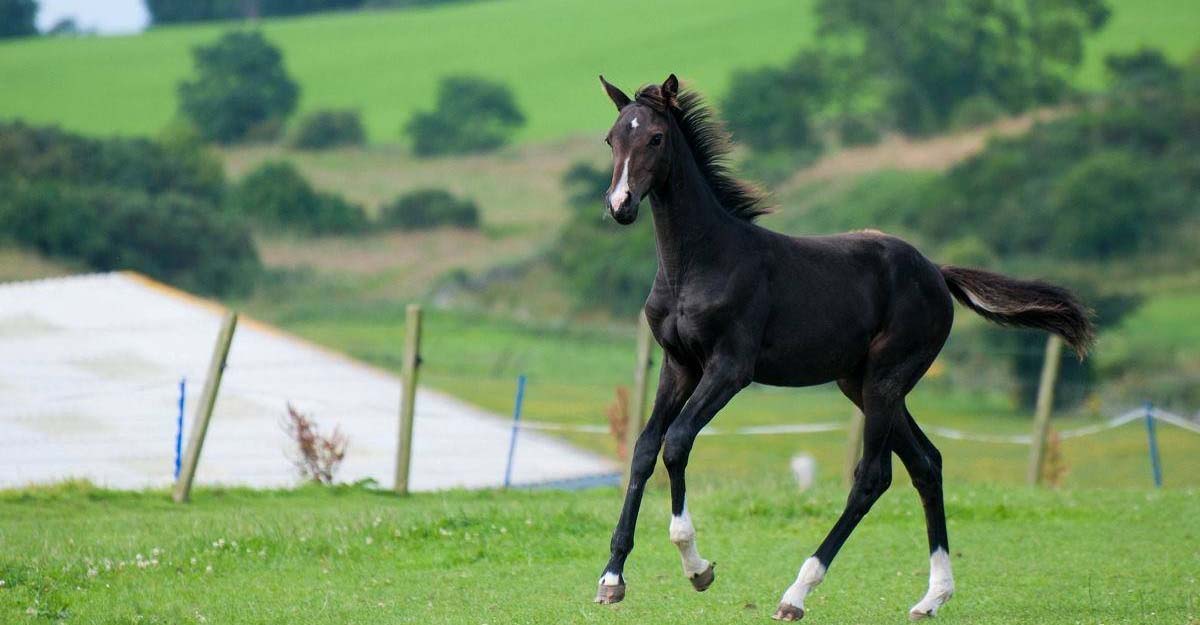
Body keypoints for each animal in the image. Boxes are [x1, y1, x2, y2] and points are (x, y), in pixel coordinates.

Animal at [592, 73, 1099, 619]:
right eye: (612, 139)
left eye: (656, 138)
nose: (620, 206)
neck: (699, 262)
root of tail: (935, 272)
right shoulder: (679, 365)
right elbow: (645, 448)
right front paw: (612, 577)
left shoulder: (729, 368)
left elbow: (678, 440)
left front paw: (697, 567)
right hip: (862, 383)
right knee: (927, 463)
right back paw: (932, 597)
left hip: (885, 379)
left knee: (873, 477)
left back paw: (796, 594)